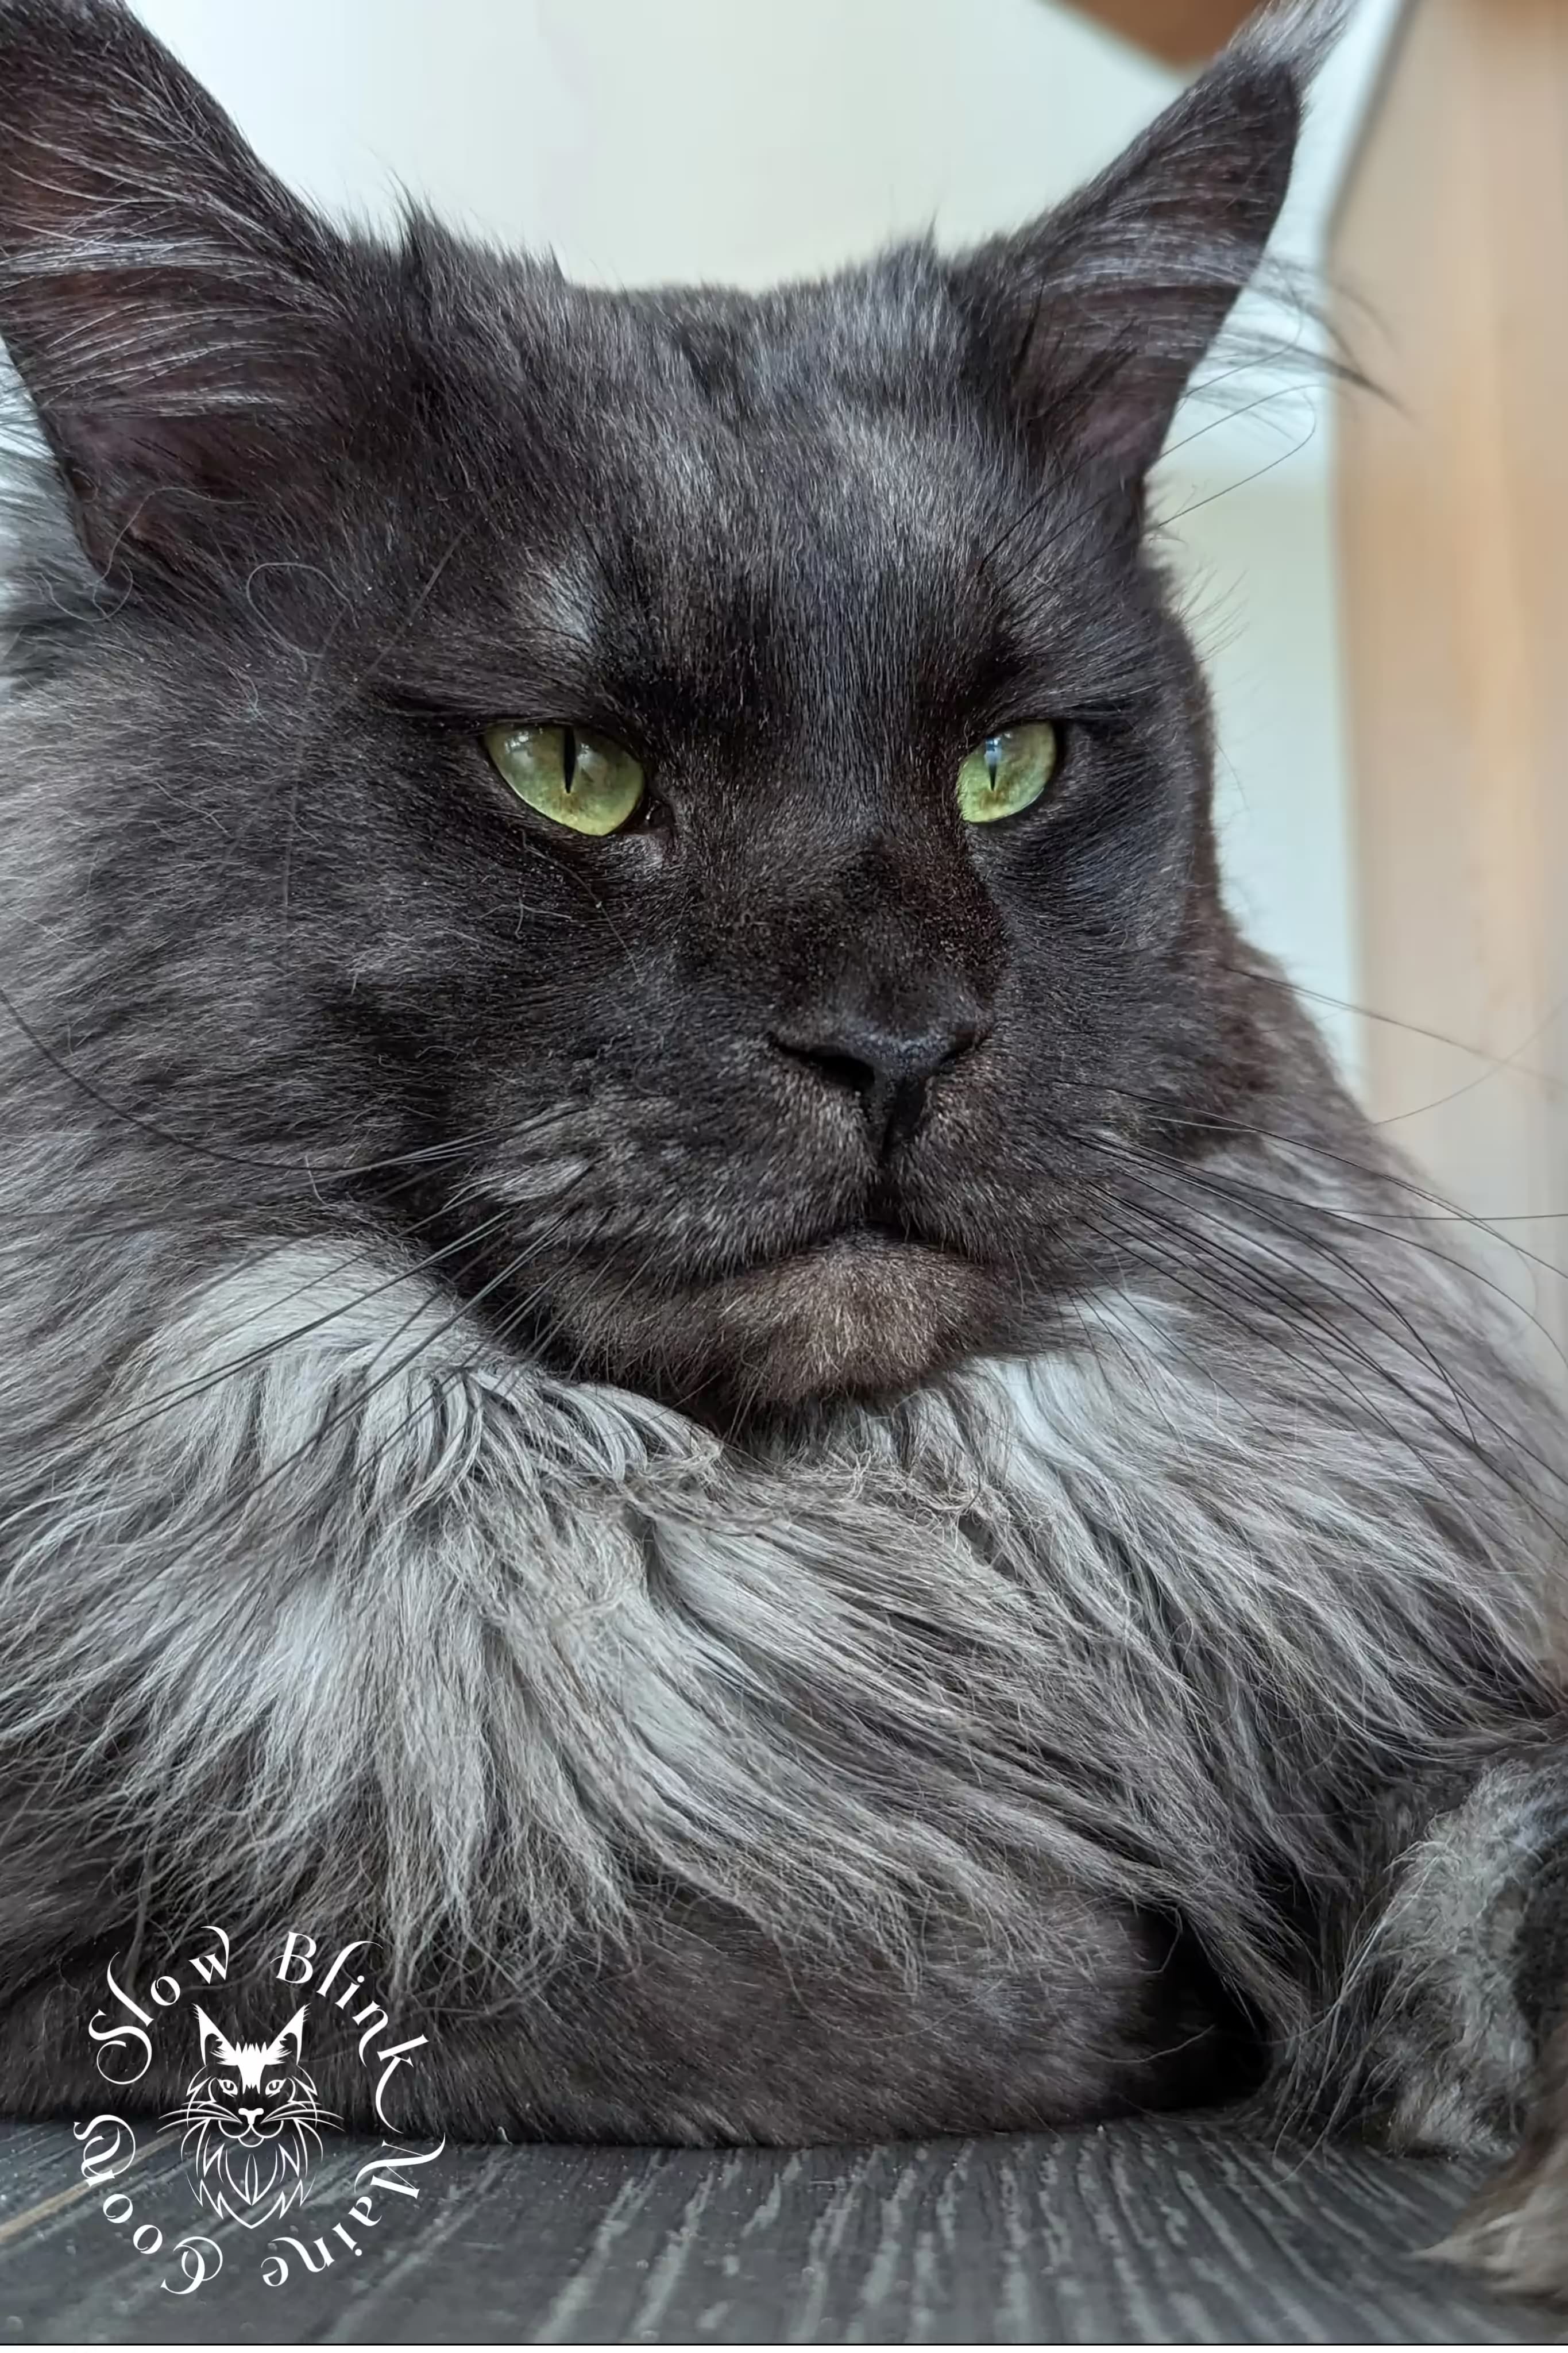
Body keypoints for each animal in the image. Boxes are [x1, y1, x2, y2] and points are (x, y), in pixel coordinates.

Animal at [0, 0, 1561, 2296]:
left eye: (1009, 765)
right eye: (568, 769)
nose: (897, 1040)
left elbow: (1486, 1828)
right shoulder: (153, 1930)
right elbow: (738, 1941)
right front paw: (1118, 1974)